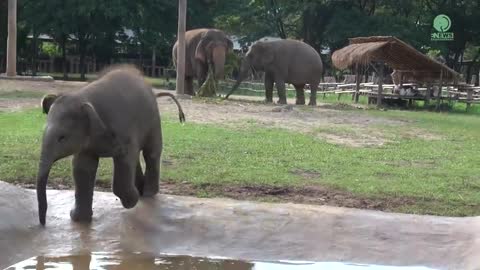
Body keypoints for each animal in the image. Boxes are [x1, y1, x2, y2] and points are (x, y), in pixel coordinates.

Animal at [35, 66, 185, 226]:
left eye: (62, 137)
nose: (43, 223)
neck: (84, 97)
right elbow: (82, 168)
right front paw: (78, 218)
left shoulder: (123, 129)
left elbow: (123, 159)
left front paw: (132, 202)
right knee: (136, 158)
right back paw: (140, 190)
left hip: (153, 121)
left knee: (150, 152)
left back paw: (147, 193)